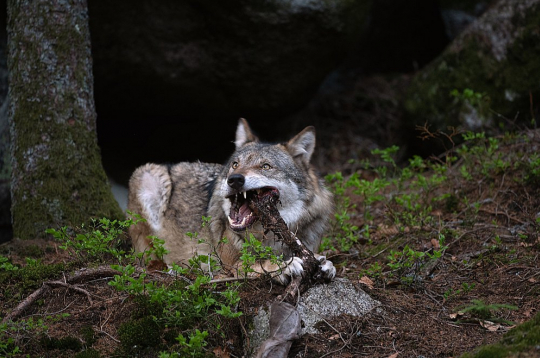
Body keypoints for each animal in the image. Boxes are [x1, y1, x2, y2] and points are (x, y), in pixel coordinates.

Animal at [128, 119, 336, 284]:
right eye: (235, 164)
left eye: (266, 166)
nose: (234, 179)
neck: (270, 239)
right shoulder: (229, 265)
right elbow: (255, 264)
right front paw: (282, 266)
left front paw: (323, 263)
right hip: (147, 174)